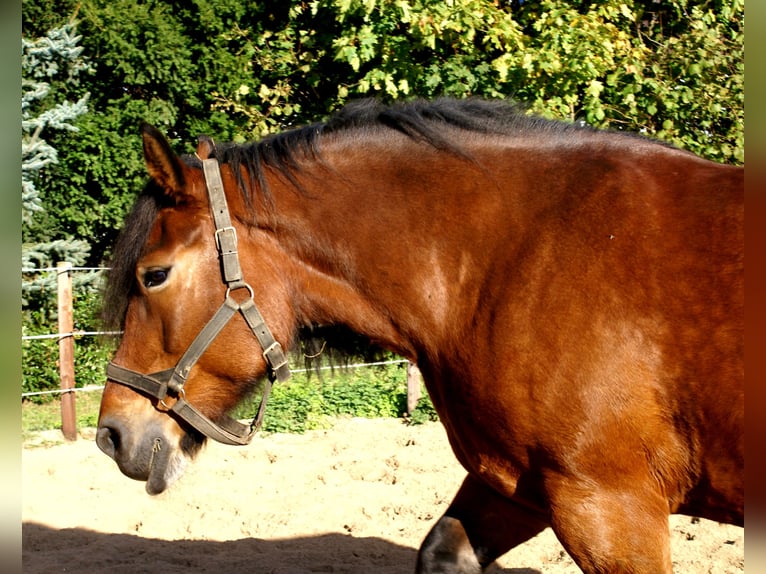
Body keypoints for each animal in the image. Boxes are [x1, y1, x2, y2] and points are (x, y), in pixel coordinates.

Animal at [96, 97, 743, 573]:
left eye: (154, 275)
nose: (111, 434)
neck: (517, 258)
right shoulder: (519, 486)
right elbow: (442, 551)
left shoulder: (610, 507)